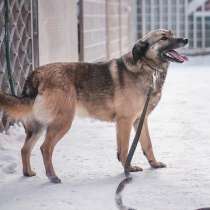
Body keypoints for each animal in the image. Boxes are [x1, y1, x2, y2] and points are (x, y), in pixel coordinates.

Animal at [0, 28, 188, 183]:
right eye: (164, 38)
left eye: (172, 33)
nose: (186, 39)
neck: (148, 67)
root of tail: (36, 74)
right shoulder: (125, 121)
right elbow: (125, 149)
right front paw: (127, 169)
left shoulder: (139, 121)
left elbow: (147, 144)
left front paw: (154, 164)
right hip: (62, 122)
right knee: (45, 148)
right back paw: (52, 176)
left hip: (38, 126)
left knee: (25, 149)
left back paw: (28, 173)